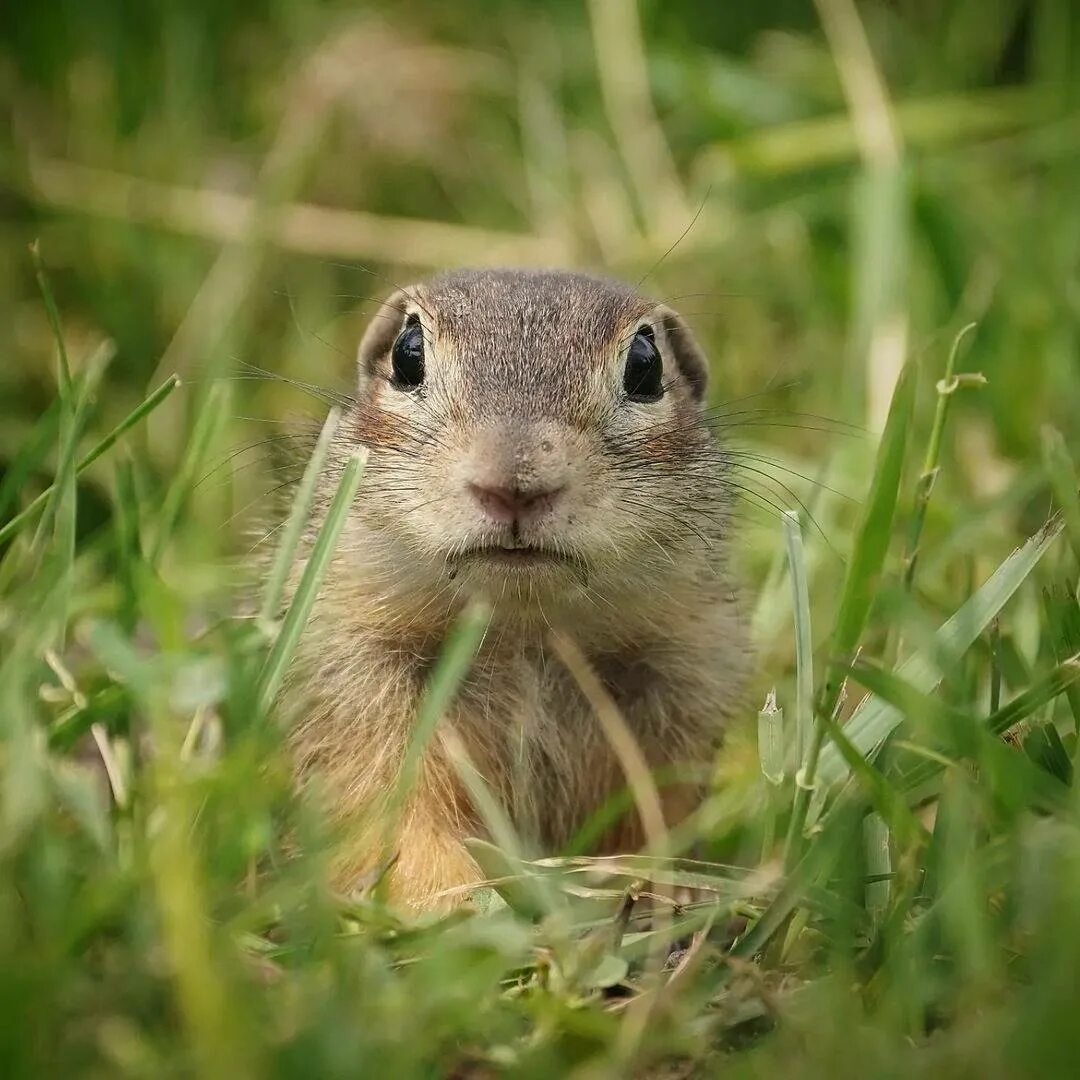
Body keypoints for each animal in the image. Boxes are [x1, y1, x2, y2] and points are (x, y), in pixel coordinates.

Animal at [282, 265, 747, 907]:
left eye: (646, 364)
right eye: (407, 354)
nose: (515, 484)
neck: (523, 634)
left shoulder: (684, 676)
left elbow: (657, 813)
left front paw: (662, 895)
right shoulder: (355, 679)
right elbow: (393, 819)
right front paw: (457, 902)